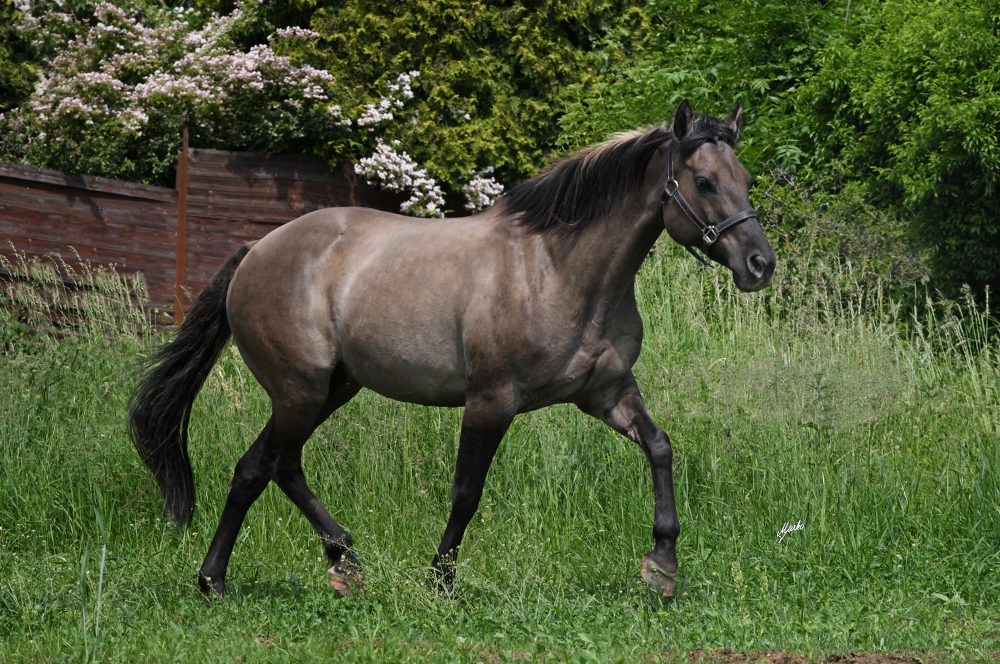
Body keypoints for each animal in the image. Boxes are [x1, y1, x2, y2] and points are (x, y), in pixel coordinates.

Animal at [129, 100, 776, 600]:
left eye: (746, 180)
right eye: (704, 182)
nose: (760, 266)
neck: (557, 270)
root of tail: (255, 252)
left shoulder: (606, 393)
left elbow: (661, 448)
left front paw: (662, 565)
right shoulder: (491, 400)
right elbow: (466, 493)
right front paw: (441, 581)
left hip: (329, 389)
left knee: (257, 468)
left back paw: (251, 576)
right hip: (301, 390)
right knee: (277, 465)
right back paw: (310, 566)